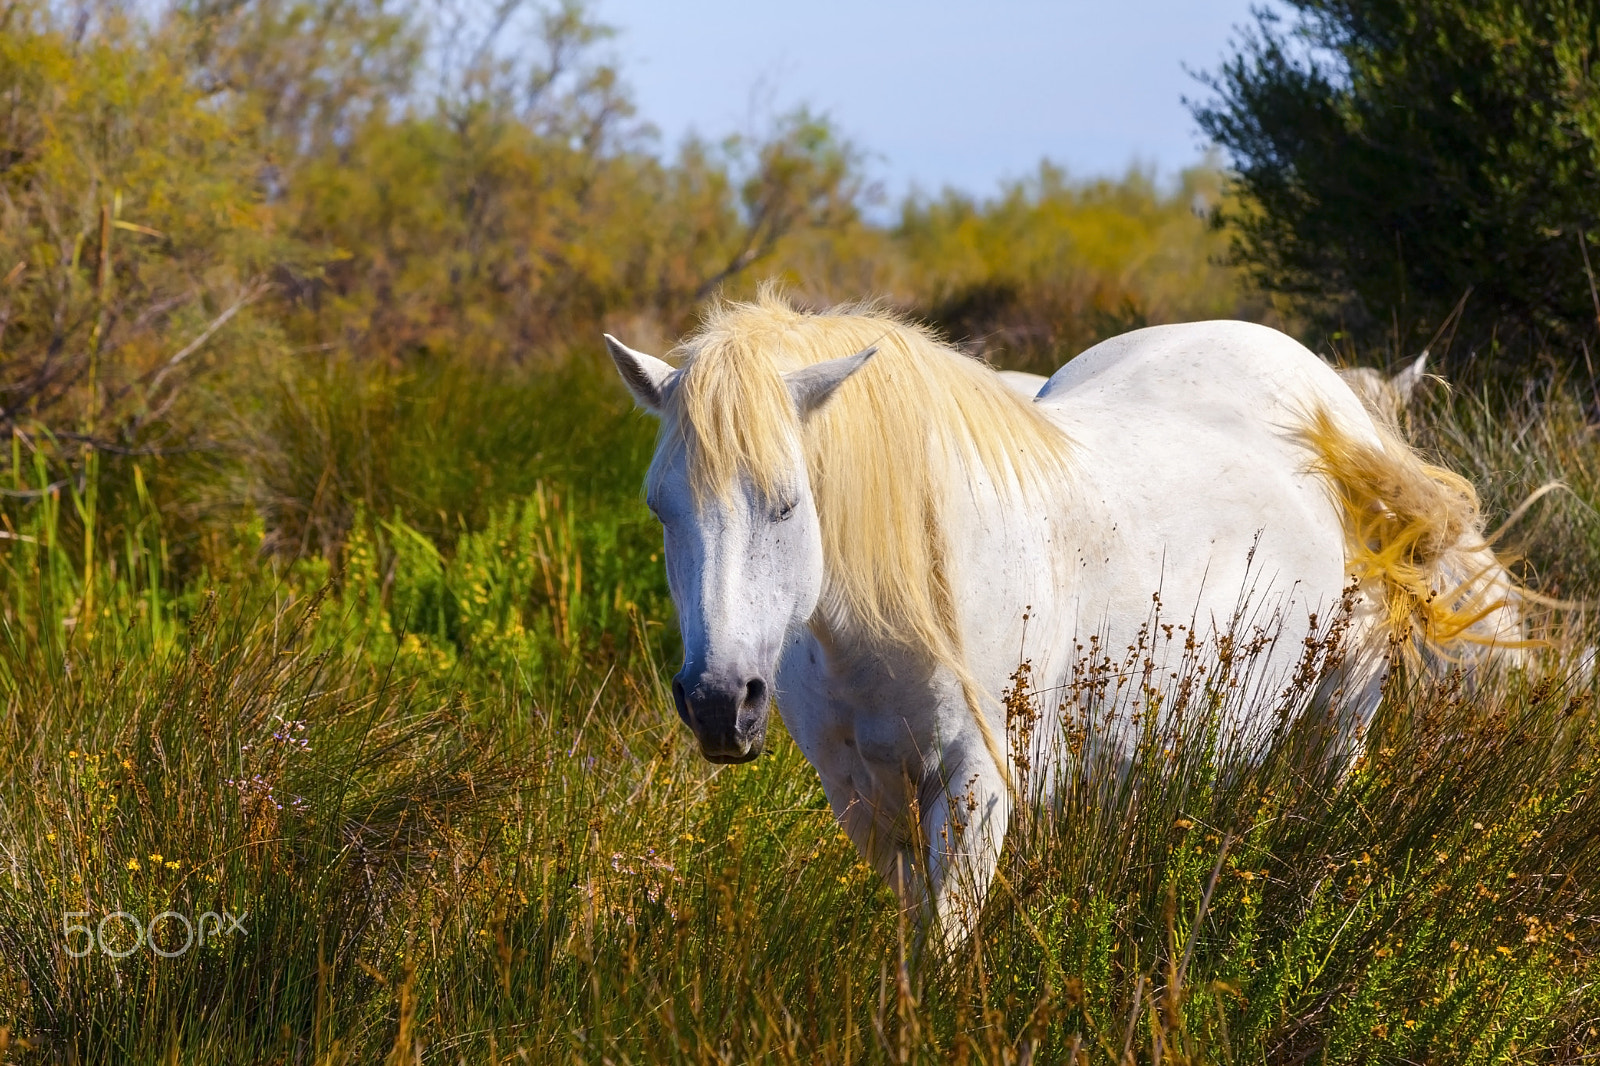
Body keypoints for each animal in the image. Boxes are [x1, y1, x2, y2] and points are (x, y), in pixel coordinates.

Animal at [603, 291, 1521, 944]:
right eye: (660, 510)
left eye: (789, 504)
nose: (719, 703)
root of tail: (1331, 401)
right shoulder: (860, 791)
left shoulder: (978, 784)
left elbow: (943, 944)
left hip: (1337, 723)